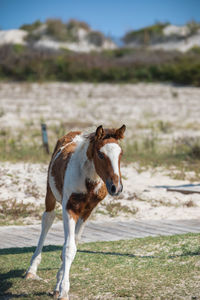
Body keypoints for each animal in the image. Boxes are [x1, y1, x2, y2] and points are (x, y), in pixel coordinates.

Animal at [25, 124, 125, 300]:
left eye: (121, 154)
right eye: (101, 154)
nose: (116, 188)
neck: (89, 180)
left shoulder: (87, 211)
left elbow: (73, 244)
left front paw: (58, 286)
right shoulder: (69, 207)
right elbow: (68, 247)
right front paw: (64, 291)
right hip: (50, 193)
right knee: (47, 220)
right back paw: (31, 270)